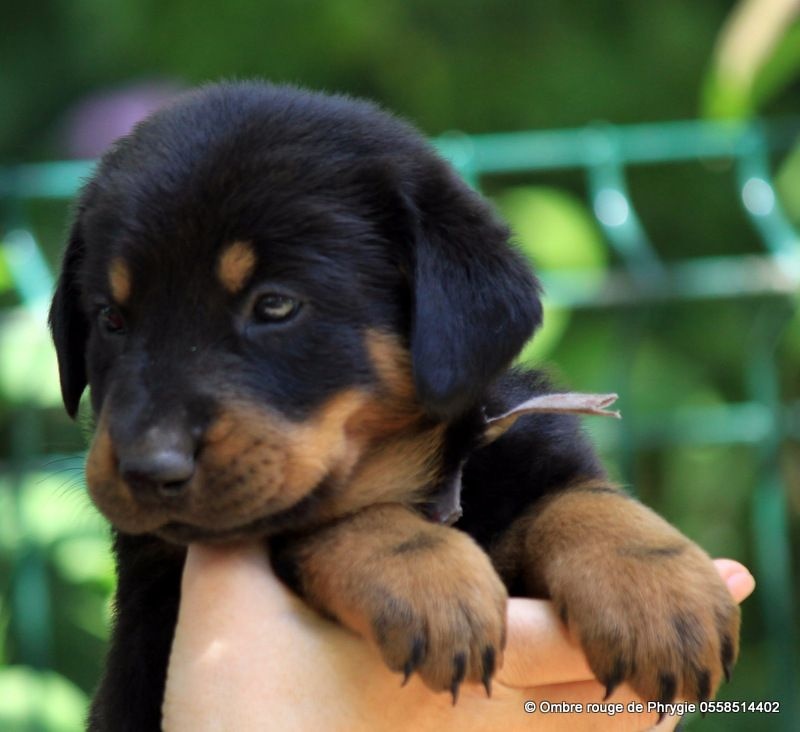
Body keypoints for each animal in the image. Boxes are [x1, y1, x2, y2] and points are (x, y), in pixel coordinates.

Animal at [49, 82, 739, 731]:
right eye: (110, 319)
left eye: (275, 305)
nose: (148, 467)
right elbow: (328, 516)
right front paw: (427, 577)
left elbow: (575, 497)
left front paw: (655, 589)